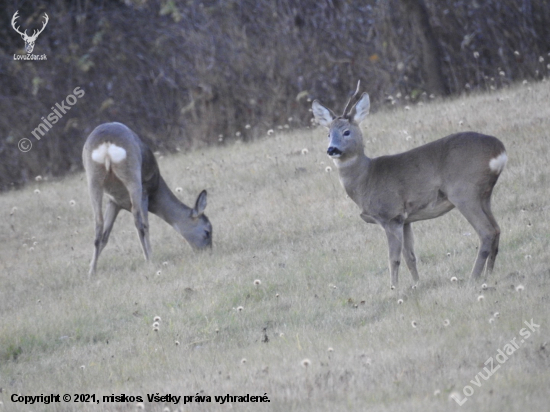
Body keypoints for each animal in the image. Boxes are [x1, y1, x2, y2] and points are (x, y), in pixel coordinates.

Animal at [312, 85, 512, 288]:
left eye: (346, 131)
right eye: (328, 134)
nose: (331, 149)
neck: (366, 179)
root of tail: (499, 149)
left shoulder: (390, 215)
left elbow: (393, 259)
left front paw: (393, 288)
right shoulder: (406, 219)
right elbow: (410, 257)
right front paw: (417, 284)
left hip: (464, 192)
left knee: (486, 232)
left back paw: (473, 277)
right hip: (484, 194)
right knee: (496, 229)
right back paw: (488, 274)